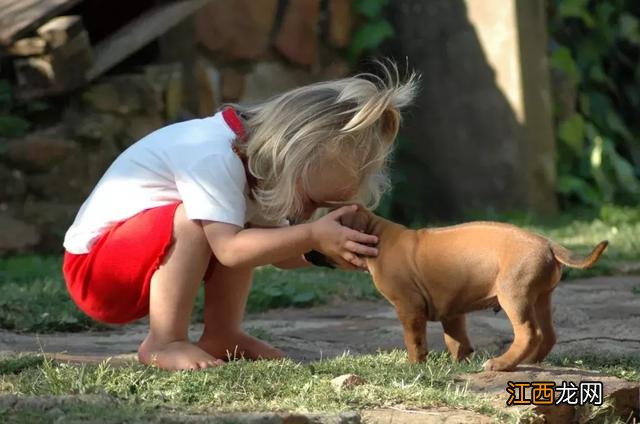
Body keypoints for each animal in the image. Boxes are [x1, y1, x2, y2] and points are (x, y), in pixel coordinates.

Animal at [342, 209, 608, 372]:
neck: (378, 233)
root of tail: (548, 243)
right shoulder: (452, 309)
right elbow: (456, 339)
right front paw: (458, 362)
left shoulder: (409, 307)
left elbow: (415, 340)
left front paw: (414, 365)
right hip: (541, 298)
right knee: (548, 334)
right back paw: (528, 362)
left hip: (514, 294)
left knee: (529, 333)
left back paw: (501, 364)